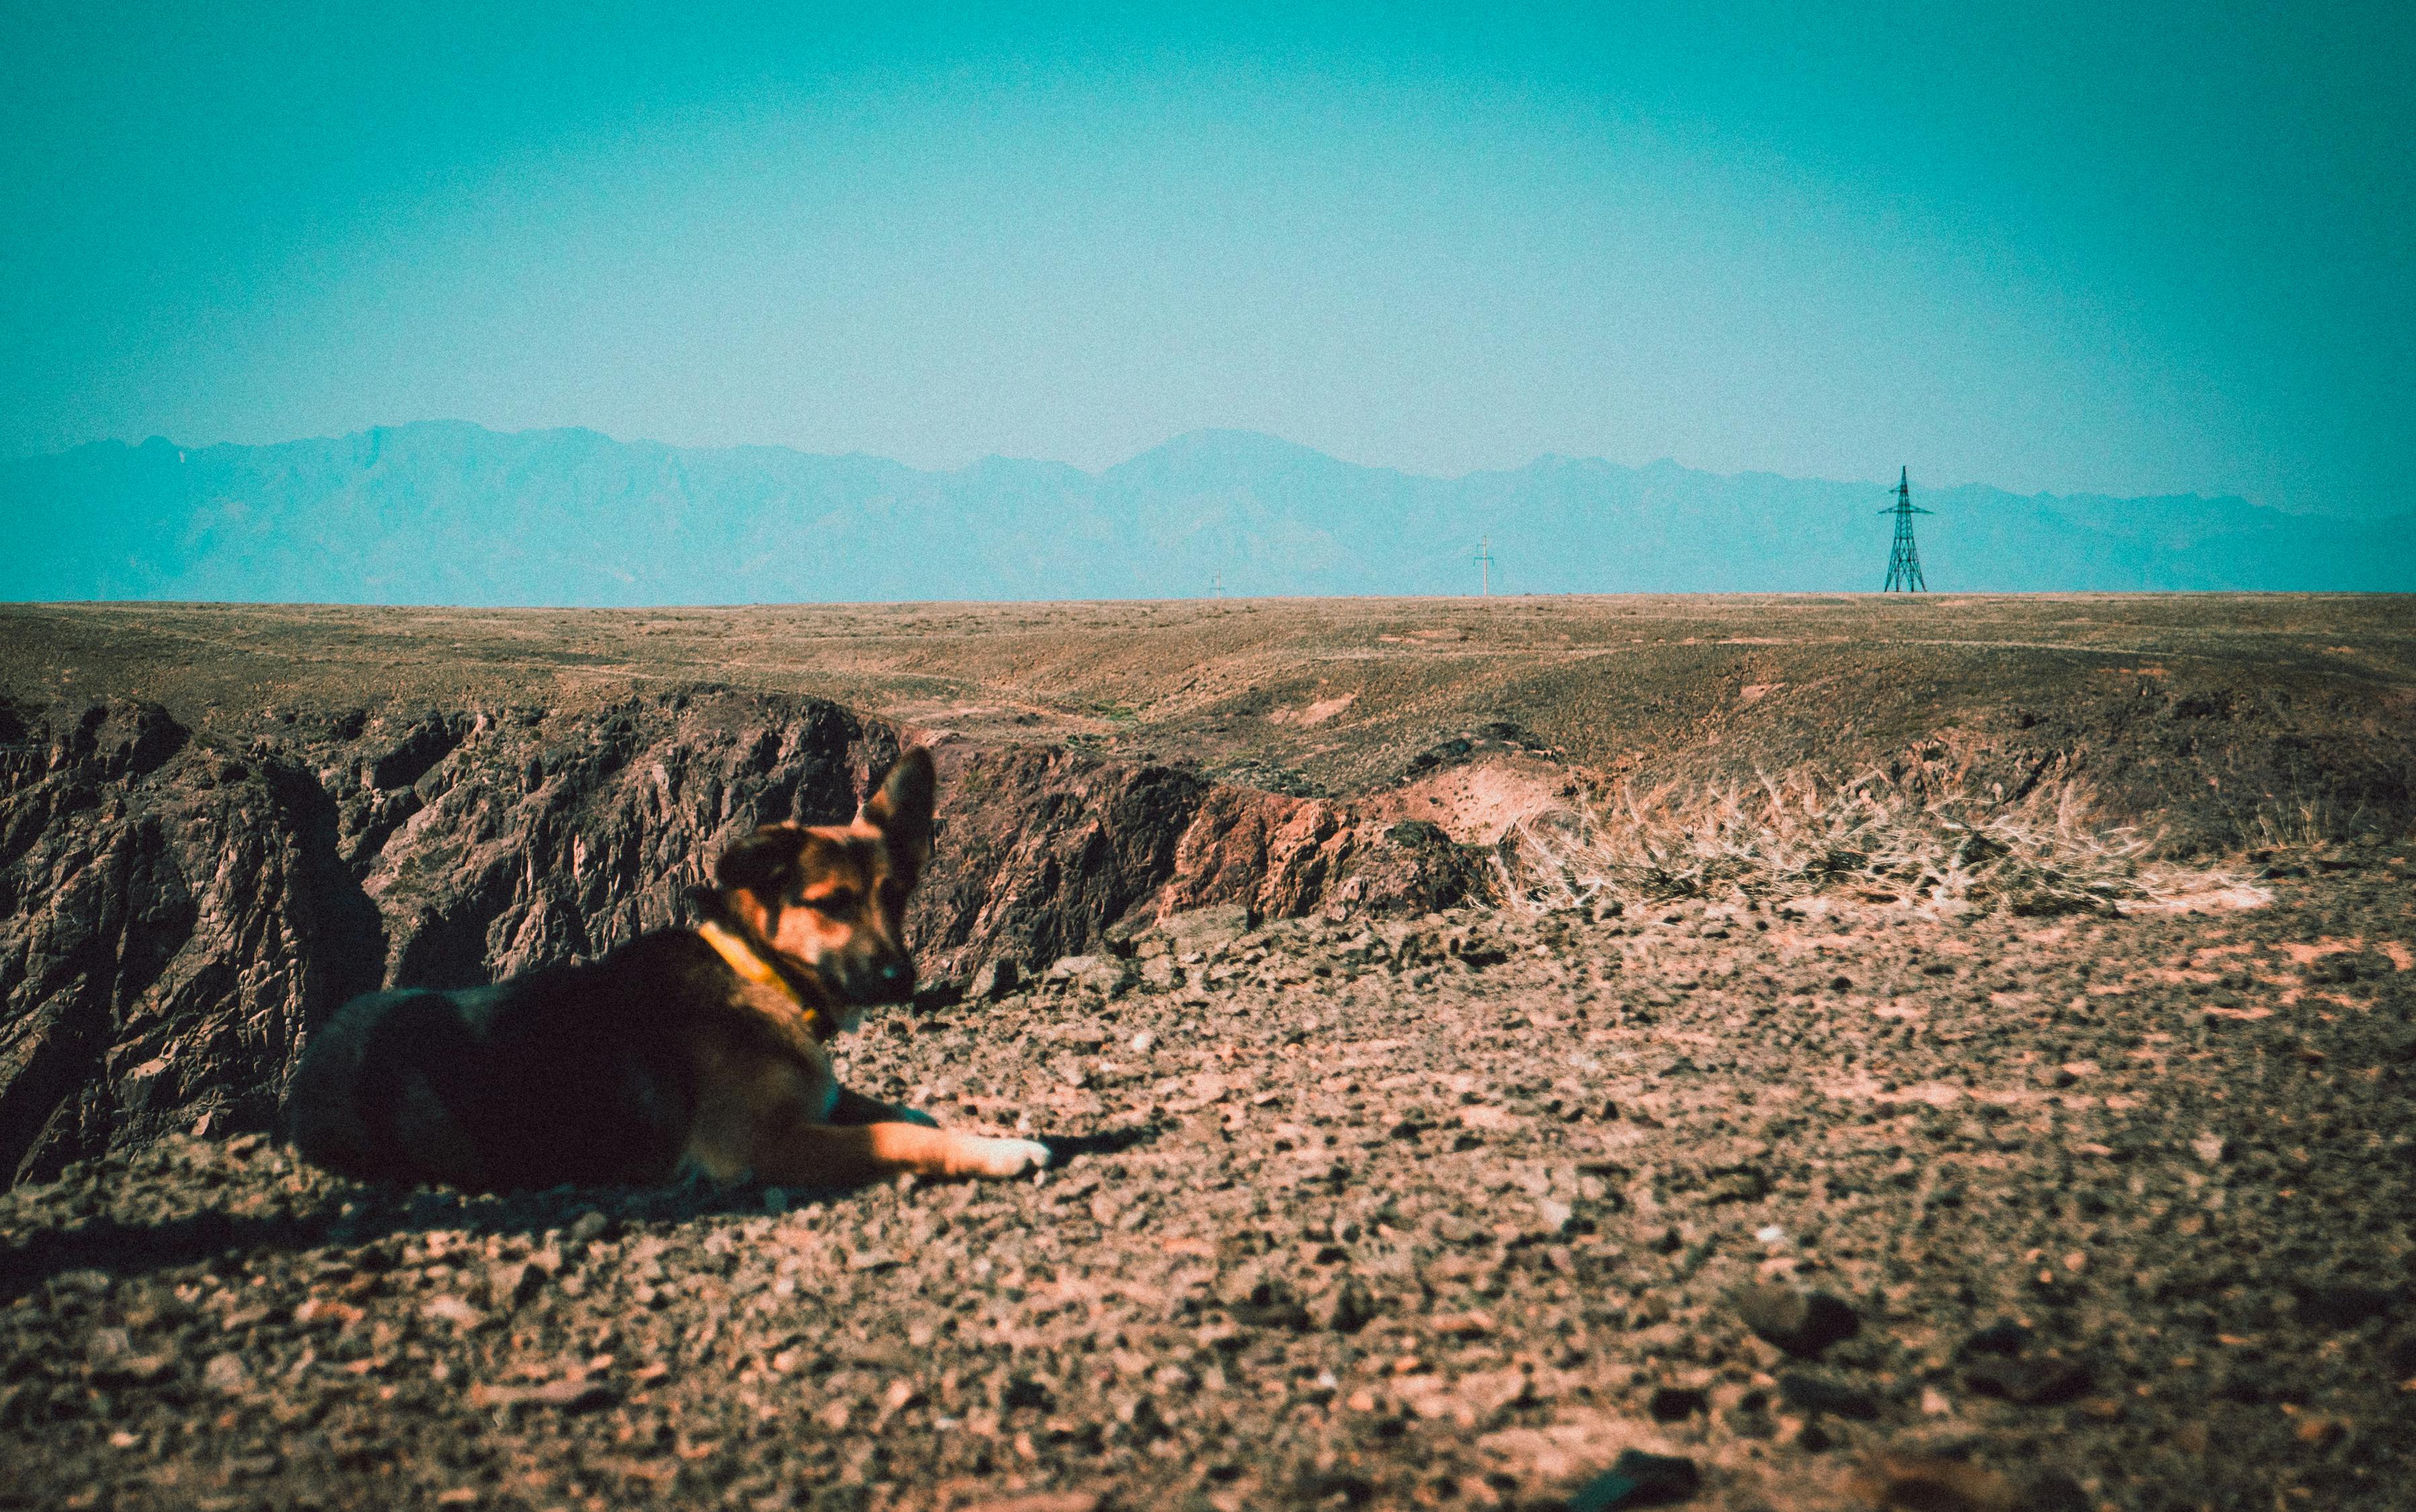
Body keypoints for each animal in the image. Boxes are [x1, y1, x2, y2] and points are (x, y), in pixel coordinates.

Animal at [280, 744, 1048, 1188]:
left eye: (895, 895)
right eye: (832, 903)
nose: (902, 980)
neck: (759, 976)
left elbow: (877, 1105)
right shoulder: (749, 1149)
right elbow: (890, 1134)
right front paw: (1001, 1150)